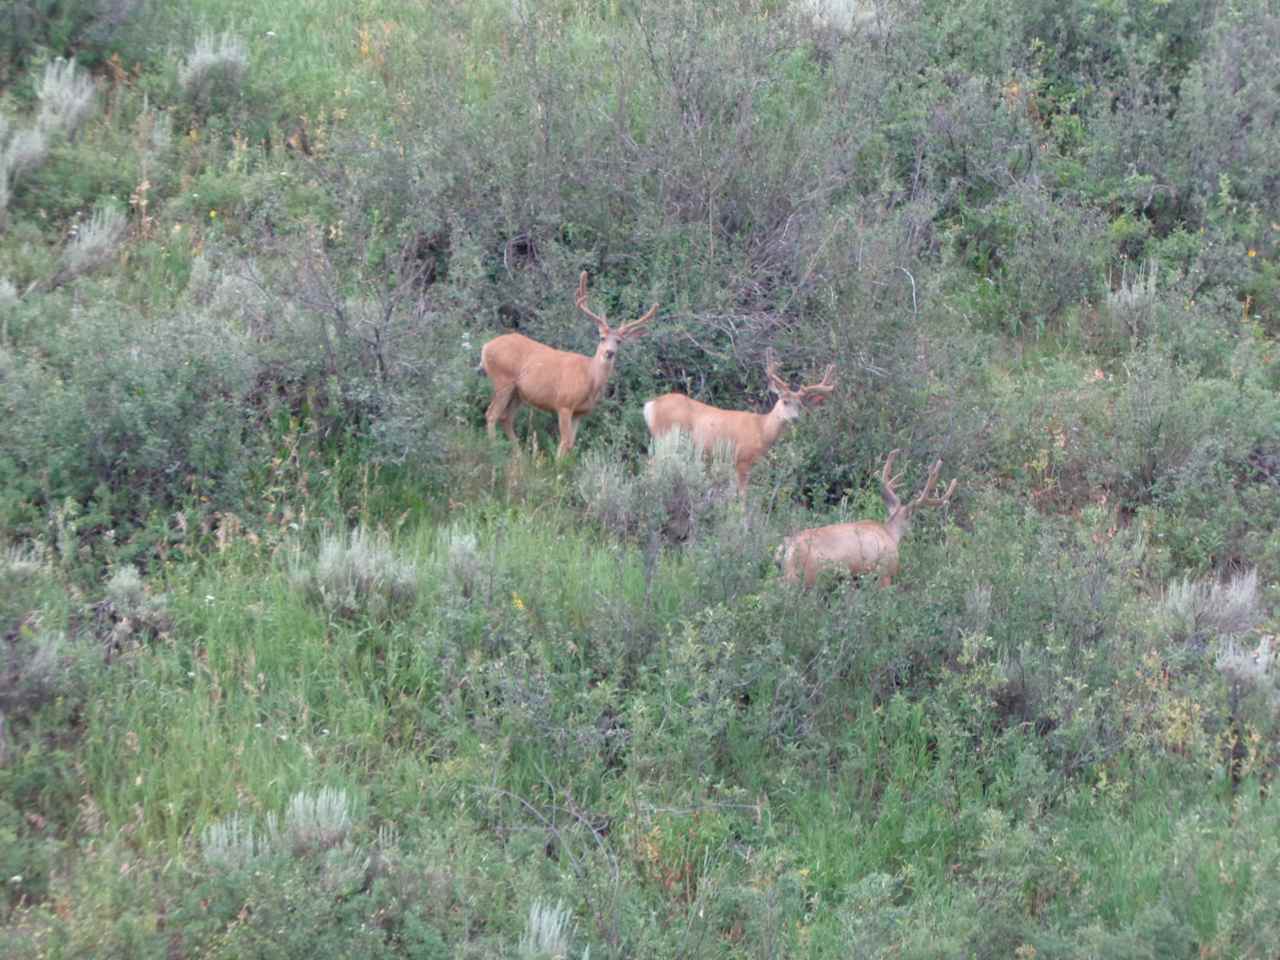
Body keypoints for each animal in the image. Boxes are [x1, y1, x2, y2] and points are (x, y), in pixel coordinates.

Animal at [481, 271, 660, 458]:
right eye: (602, 337)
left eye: (619, 341)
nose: (609, 352)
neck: (589, 377)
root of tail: (486, 346)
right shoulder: (564, 404)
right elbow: (565, 442)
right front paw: (557, 465)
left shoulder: (580, 412)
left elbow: (571, 443)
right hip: (502, 379)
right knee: (492, 414)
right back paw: (494, 451)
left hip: (518, 392)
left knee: (506, 417)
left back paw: (519, 456)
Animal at [640, 353, 839, 491]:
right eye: (785, 401)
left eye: (801, 405)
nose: (795, 418)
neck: (762, 430)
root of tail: (651, 405)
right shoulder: (742, 459)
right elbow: (743, 496)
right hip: (666, 438)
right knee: (651, 467)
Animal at [773, 450, 957, 591]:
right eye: (912, 519)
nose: (915, 535)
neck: (890, 534)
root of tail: (788, 547)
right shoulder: (885, 572)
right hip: (809, 576)